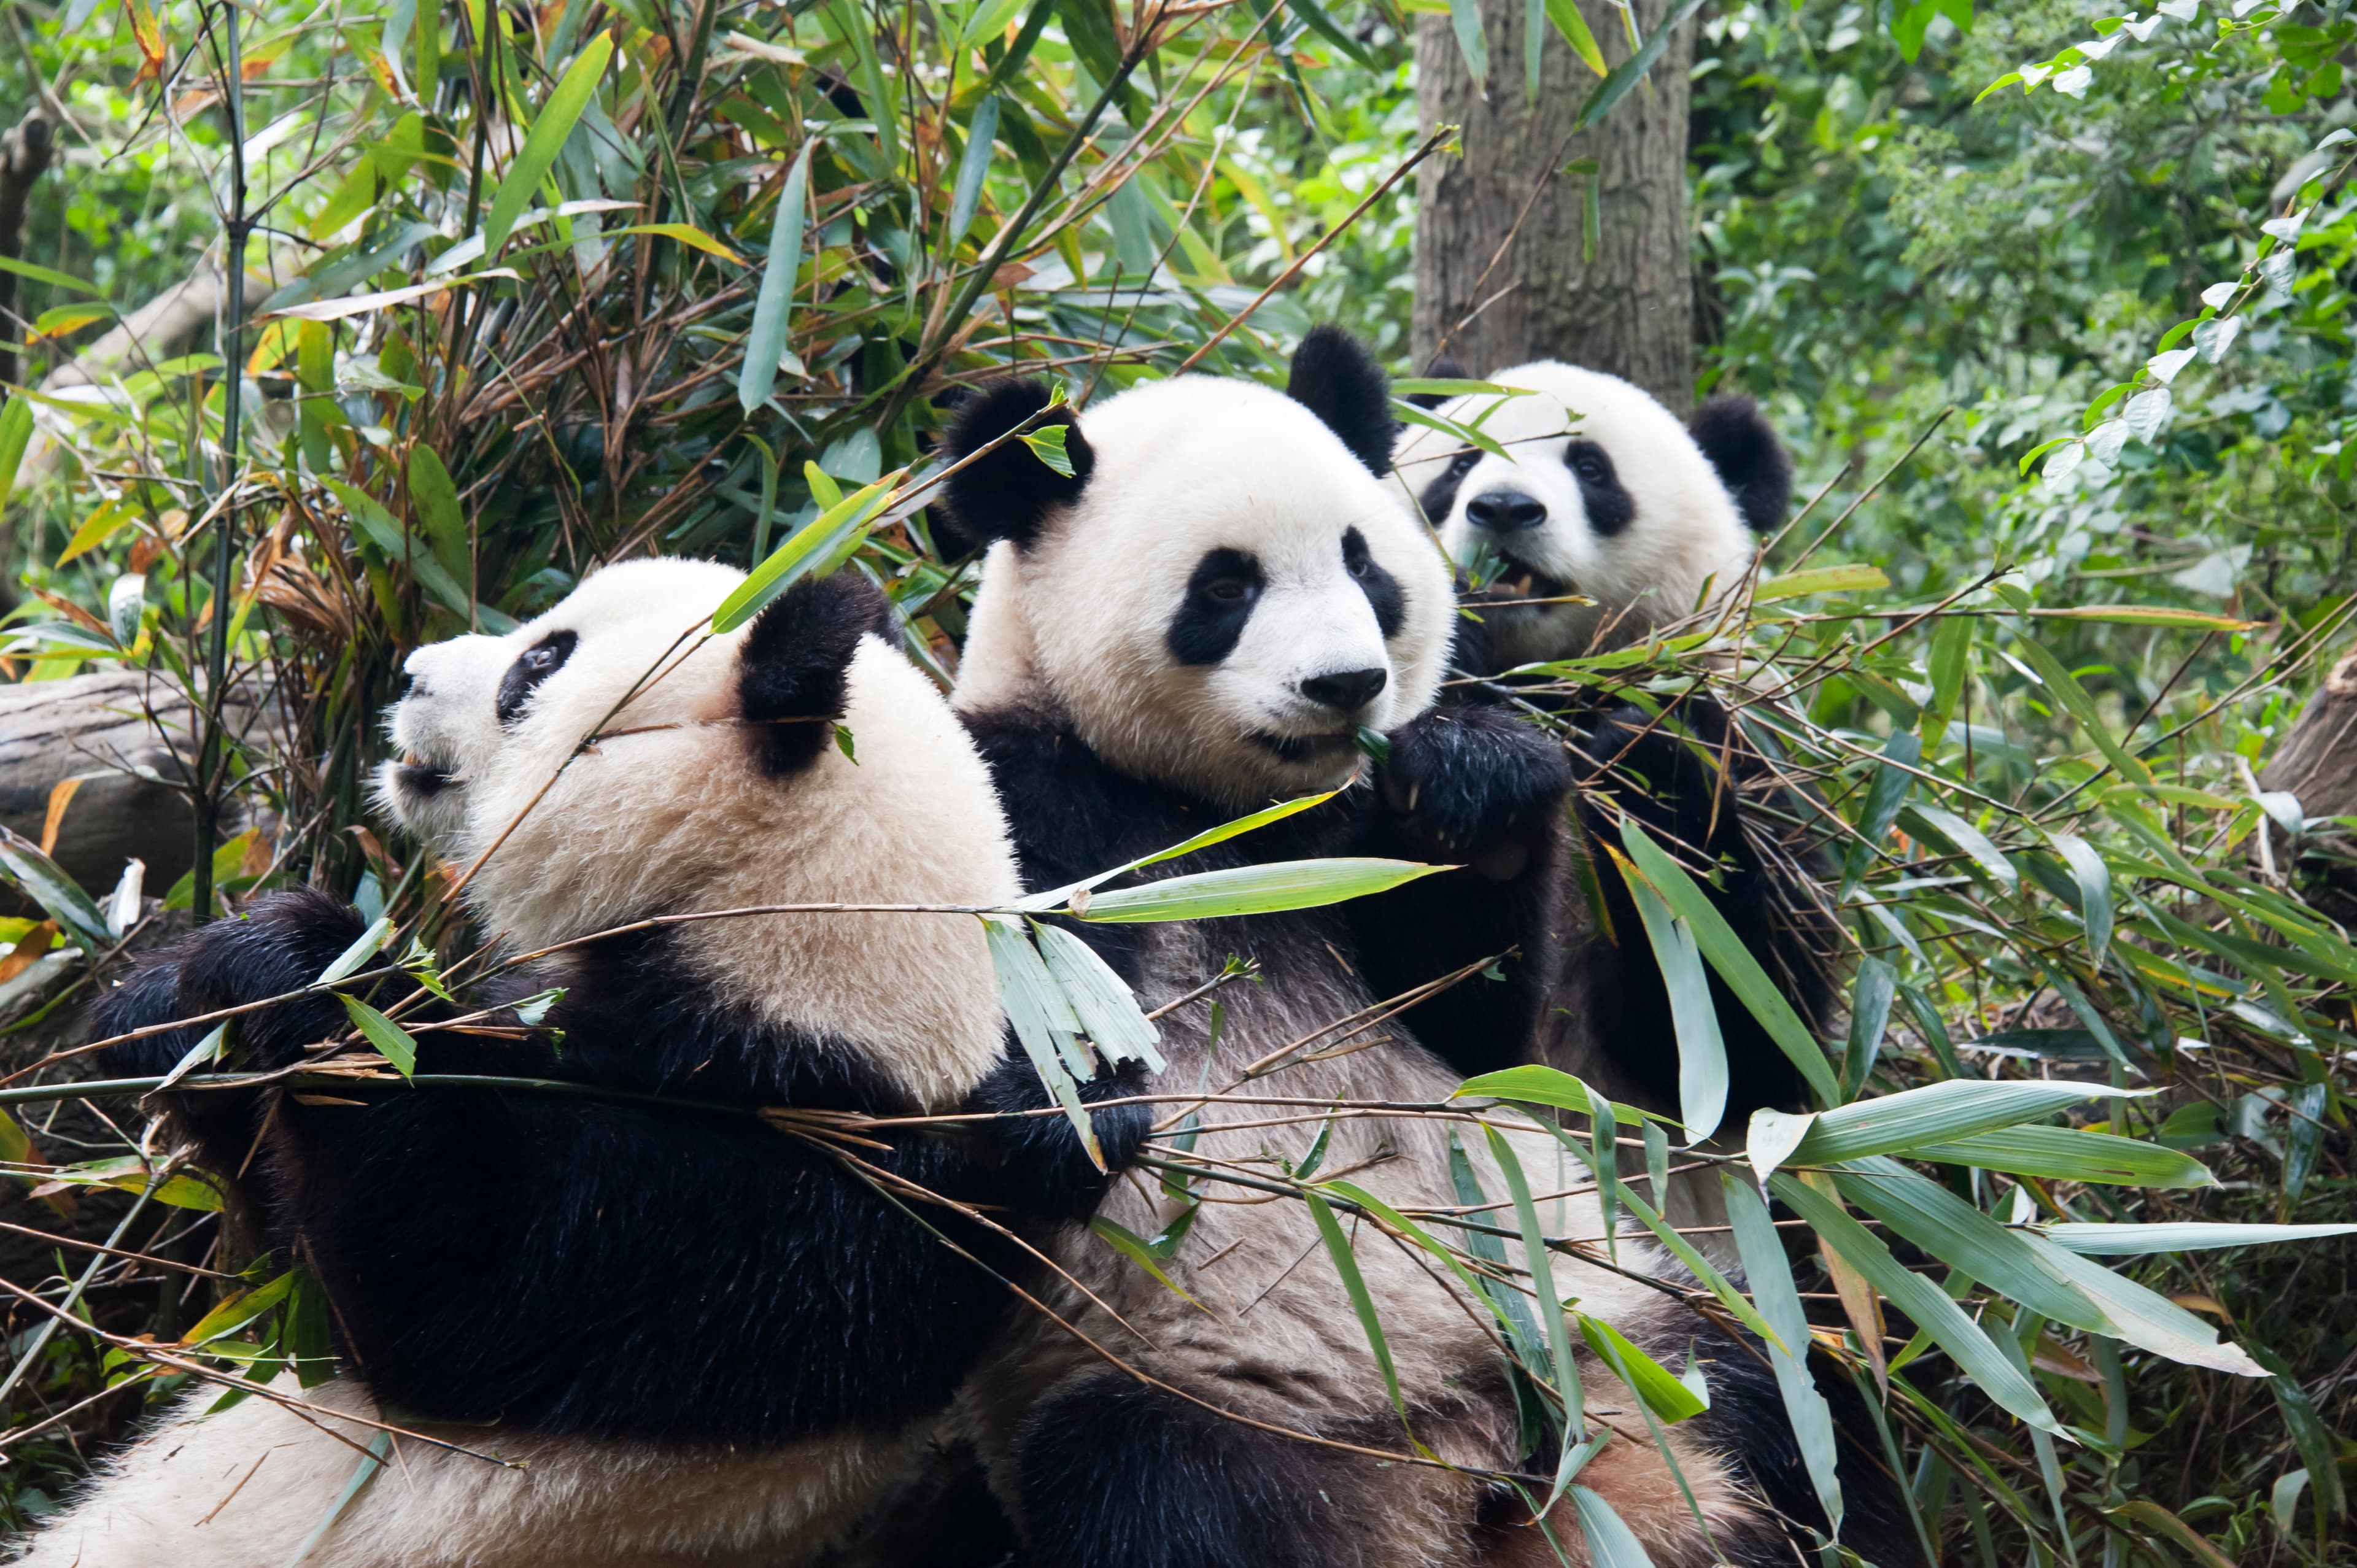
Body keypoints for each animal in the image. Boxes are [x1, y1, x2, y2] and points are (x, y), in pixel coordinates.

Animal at [20, 558, 1143, 1568]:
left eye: (538, 665)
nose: (411, 673)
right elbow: (272, 1224)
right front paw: (172, 1003)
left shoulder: (795, 1201)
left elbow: (446, 1283)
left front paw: (307, 970)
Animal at [1393, 360, 1839, 1144]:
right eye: (1459, 464)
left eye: (1592, 469)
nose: (1503, 508)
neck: (1550, 683)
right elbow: (1442, 1021)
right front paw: (1475, 775)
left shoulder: (1753, 751)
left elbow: (1751, 1043)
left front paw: (1643, 762)